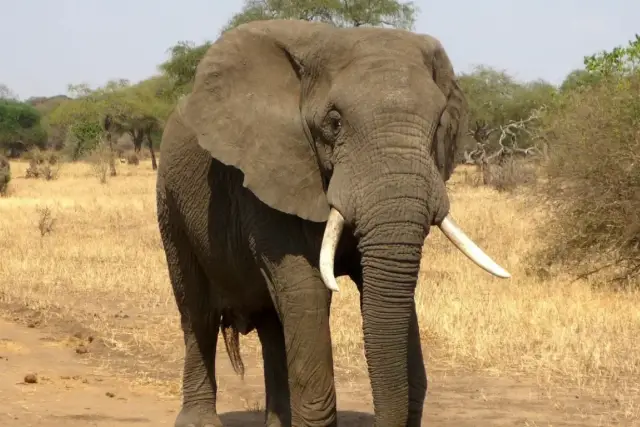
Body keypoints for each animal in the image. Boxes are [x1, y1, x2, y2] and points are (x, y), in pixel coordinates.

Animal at [156, 19, 510, 427]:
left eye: (439, 125)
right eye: (334, 123)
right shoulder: (268, 173)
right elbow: (306, 288)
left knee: (272, 325)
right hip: (170, 200)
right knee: (196, 310)